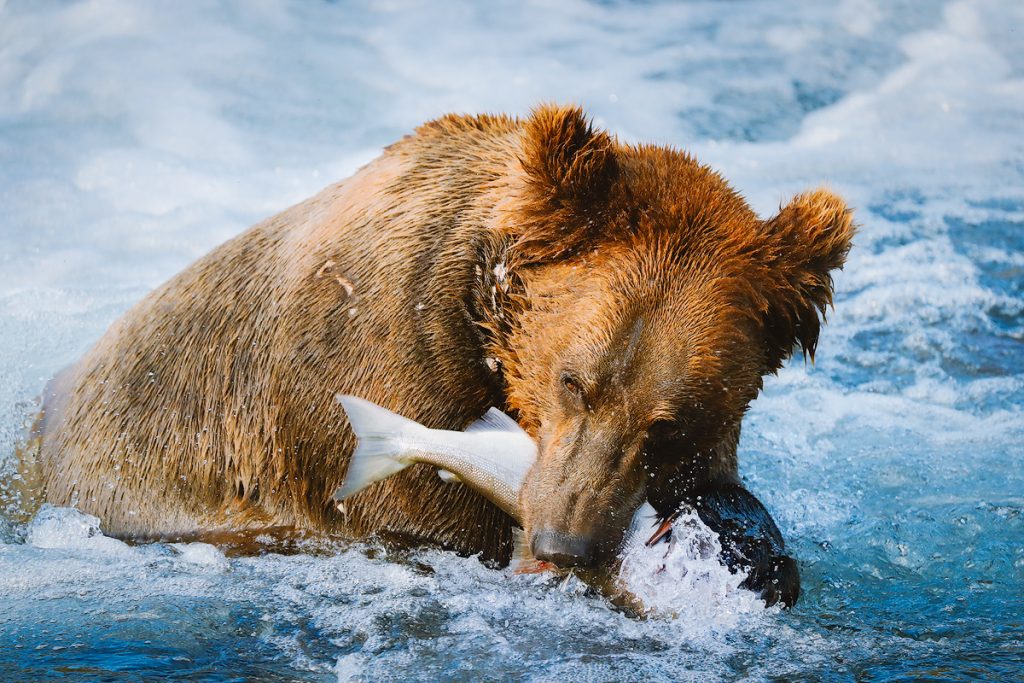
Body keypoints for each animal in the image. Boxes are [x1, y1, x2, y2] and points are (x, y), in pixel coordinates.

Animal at [28, 102, 851, 573]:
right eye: (575, 380)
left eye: (672, 421)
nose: (568, 544)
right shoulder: (374, 365)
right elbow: (424, 513)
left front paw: (753, 548)